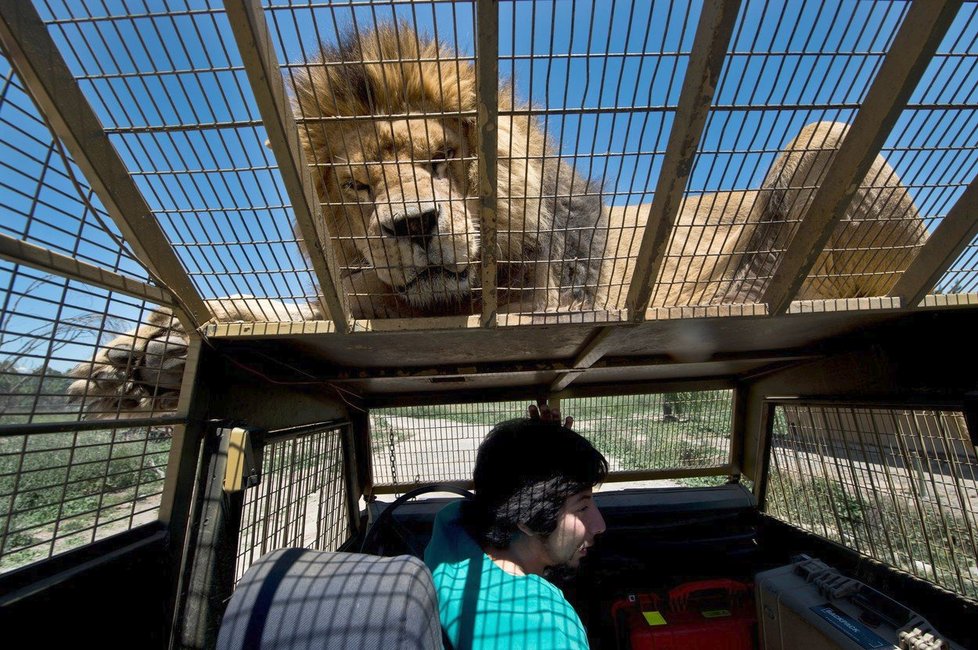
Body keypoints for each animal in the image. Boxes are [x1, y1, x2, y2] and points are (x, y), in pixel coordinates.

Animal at [66, 25, 924, 412]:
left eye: (442, 158)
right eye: (360, 185)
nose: (412, 225)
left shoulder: (523, 303)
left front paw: (152, 354)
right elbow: (298, 309)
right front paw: (139, 358)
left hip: (824, 136)